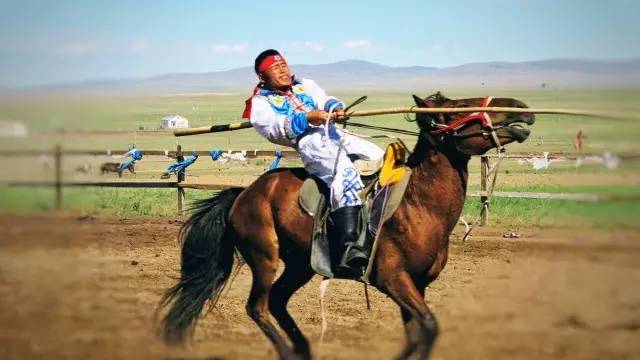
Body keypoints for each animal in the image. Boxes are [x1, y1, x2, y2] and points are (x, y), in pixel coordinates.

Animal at [160, 92, 536, 358]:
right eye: (457, 110)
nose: (521, 108)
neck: (417, 205)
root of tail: (244, 194)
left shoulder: (417, 284)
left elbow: (416, 334)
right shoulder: (394, 280)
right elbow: (429, 327)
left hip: (301, 264)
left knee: (278, 301)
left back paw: (304, 350)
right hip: (264, 258)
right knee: (259, 308)